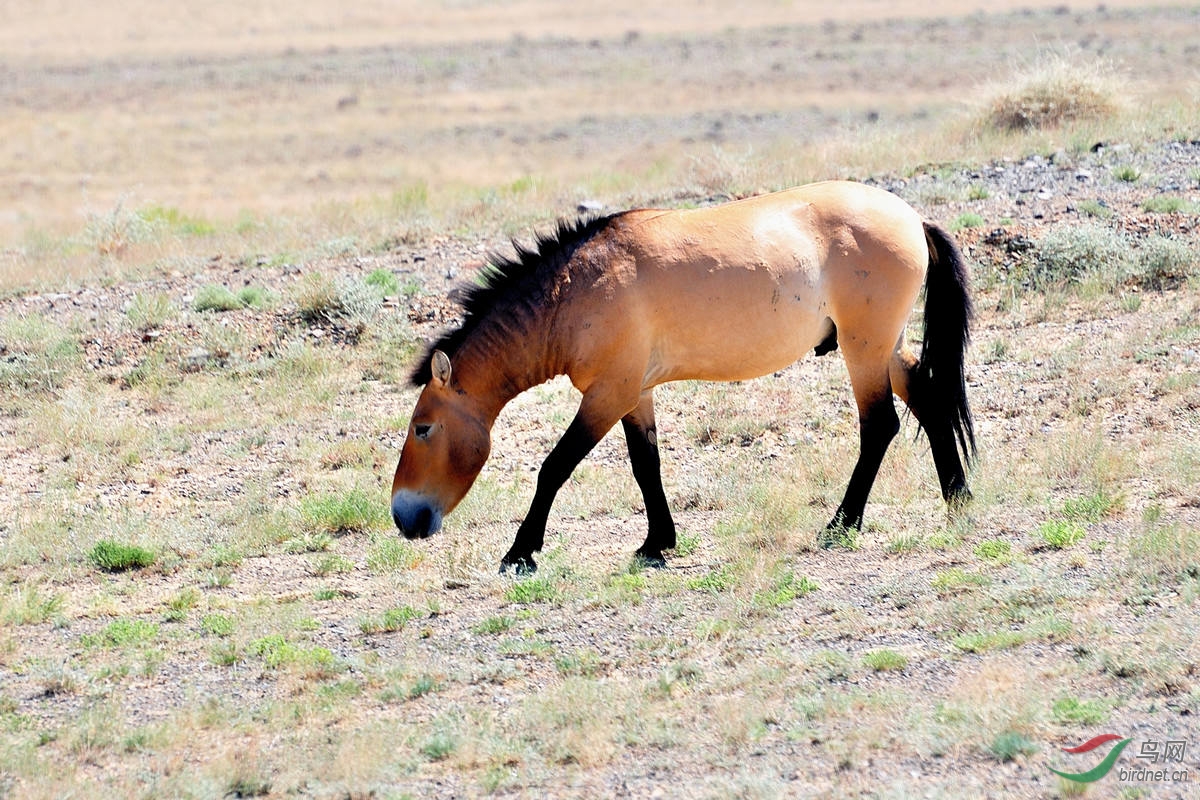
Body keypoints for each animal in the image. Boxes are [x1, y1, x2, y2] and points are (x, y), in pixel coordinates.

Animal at [391, 180, 975, 574]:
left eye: (423, 428)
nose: (404, 518)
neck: (575, 290)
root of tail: (912, 218)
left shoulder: (609, 393)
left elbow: (554, 467)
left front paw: (520, 552)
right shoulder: (637, 393)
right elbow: (645, 466)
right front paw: (657, 543)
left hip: (863, 349)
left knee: (879, 427)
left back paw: (843, 522)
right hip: (883, 349)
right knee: (927, 399)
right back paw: (958, 500)